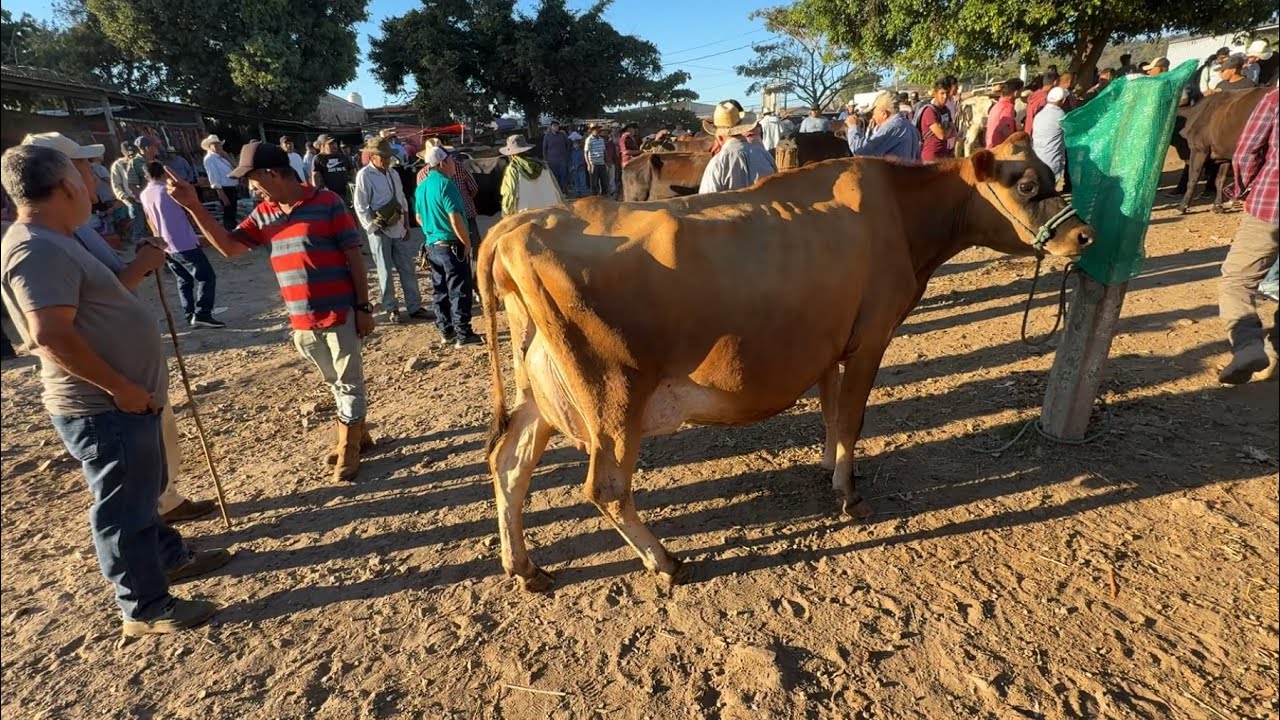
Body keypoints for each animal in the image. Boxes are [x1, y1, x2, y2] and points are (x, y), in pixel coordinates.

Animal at [477, 133, 1094, 591]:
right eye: (1028, 184)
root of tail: (517, 225)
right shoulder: (871, 337)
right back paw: (666, 562)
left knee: (508, 464)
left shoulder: (828, 344)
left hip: (540, 391)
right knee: (605, 487)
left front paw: (830, 467)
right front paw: (848, 494)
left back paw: (524, 567)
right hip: (612, 396)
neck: (901, 213)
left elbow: (830, 413)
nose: (1084, 234)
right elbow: (852, 418)